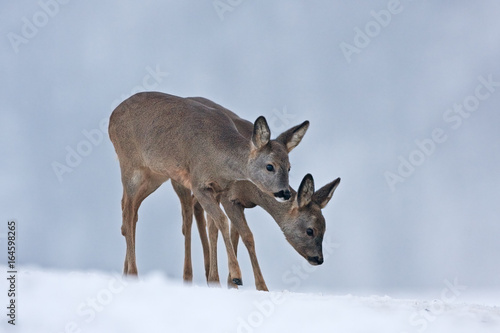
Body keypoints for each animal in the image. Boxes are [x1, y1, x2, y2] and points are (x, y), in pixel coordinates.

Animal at [108, 92, 308, 284]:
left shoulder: (219, 189)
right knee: (128, 211)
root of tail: (111, 118)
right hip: (130, 164)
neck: (218, 155)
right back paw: (133, 274)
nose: (285, 193)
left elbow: (215, 226)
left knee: (130, 209)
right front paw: (236, 275)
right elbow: (222, 220)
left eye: (289, 167)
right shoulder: (199, 185)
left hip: (154, 175)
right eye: (269, 166)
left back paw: (127, 272)